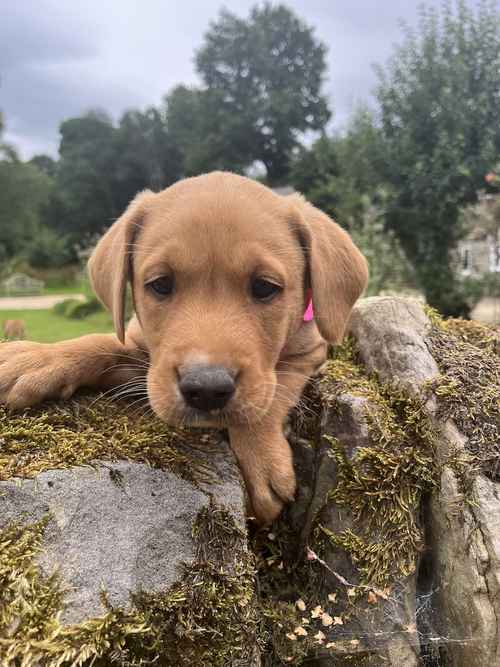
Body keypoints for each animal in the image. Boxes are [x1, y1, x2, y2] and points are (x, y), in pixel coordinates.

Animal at [0, 174, 368, 528]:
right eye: (160, 284)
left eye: (265, 287)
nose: (206, 389)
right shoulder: (146, 362)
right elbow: (104, 344)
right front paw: (37, 359)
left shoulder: (310, 350)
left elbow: (272, 393)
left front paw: (261, 463)